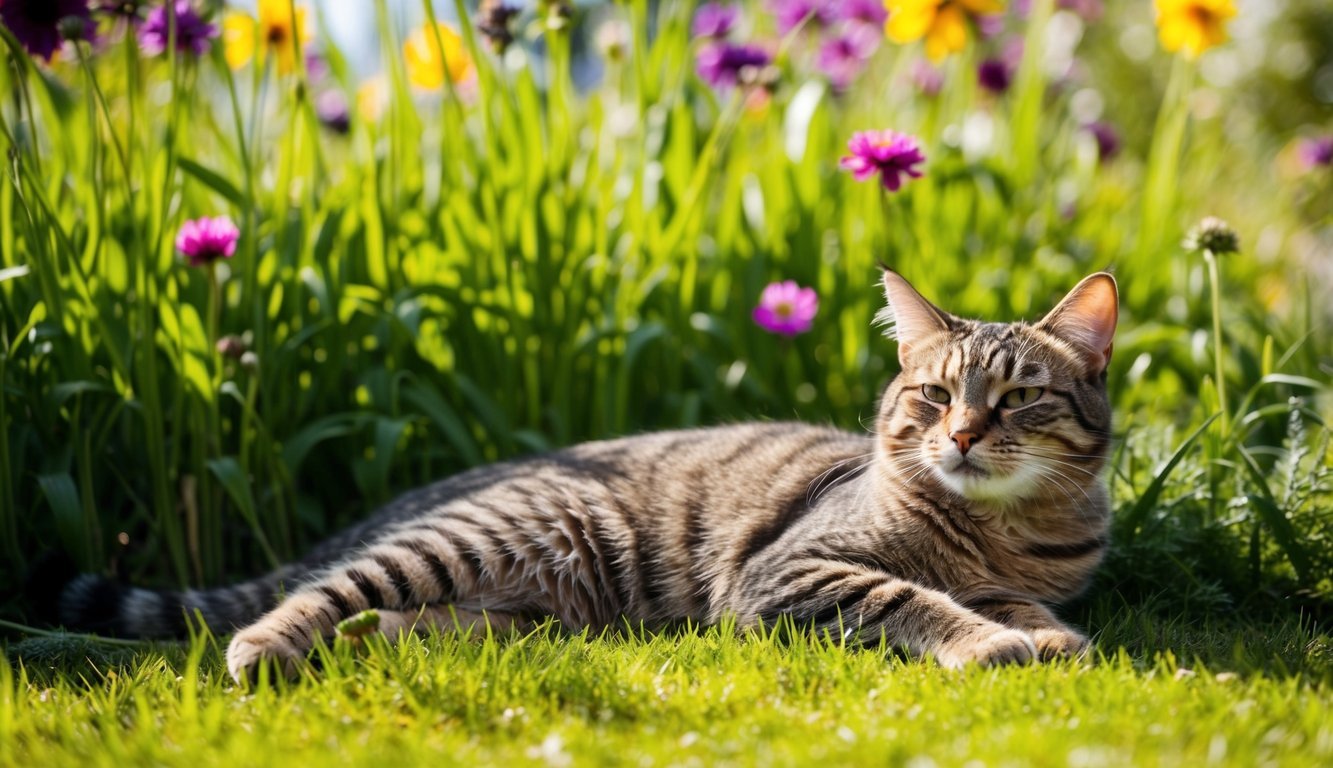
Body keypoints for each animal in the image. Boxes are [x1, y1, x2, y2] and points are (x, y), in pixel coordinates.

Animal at [51, 266, 1119, 680]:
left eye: (1018, 399)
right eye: (935, 396)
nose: (964, 435)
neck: (995, 530)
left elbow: (1018, 603)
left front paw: (1041, 631)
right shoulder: (788, 575)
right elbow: (916, 599)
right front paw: (988, 641)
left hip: (528, 615)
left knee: (391, 625)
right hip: (469, 543)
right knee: (315, 593)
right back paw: (262, 649)